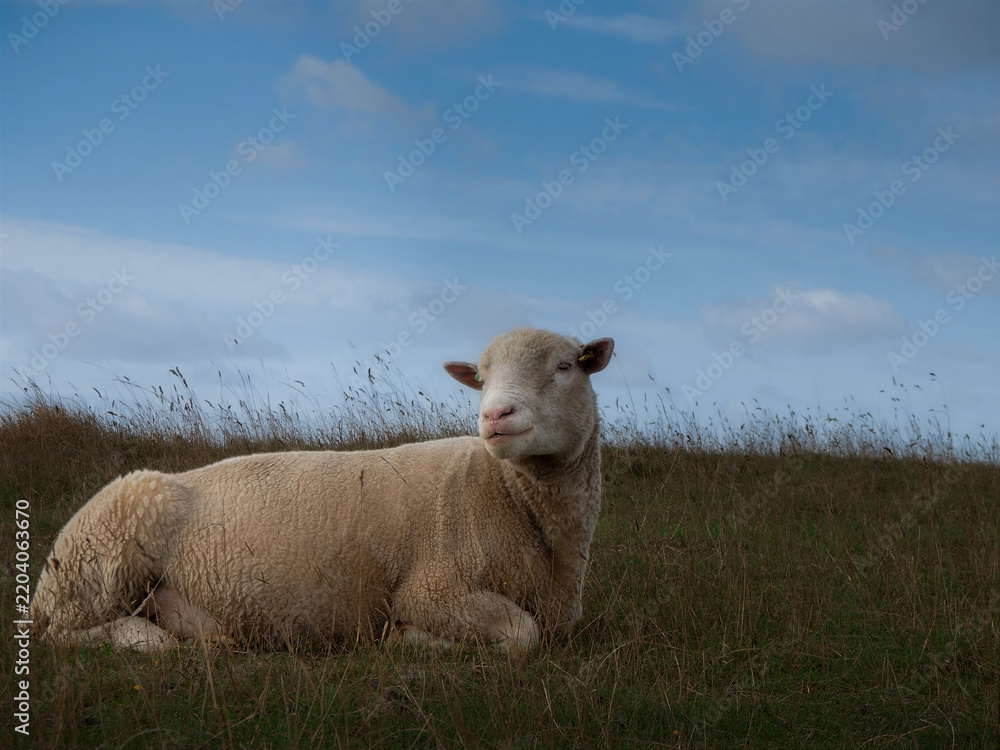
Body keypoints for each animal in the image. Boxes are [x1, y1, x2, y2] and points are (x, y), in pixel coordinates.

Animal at [28, 327, 614, 652]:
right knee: (63, 635)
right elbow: (521, 635)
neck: (511, 495)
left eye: (565, 366)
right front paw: (406, 639)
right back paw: (147, 639)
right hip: (100, 569)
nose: (495, 415)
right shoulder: (433, 588)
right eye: (482, 377)